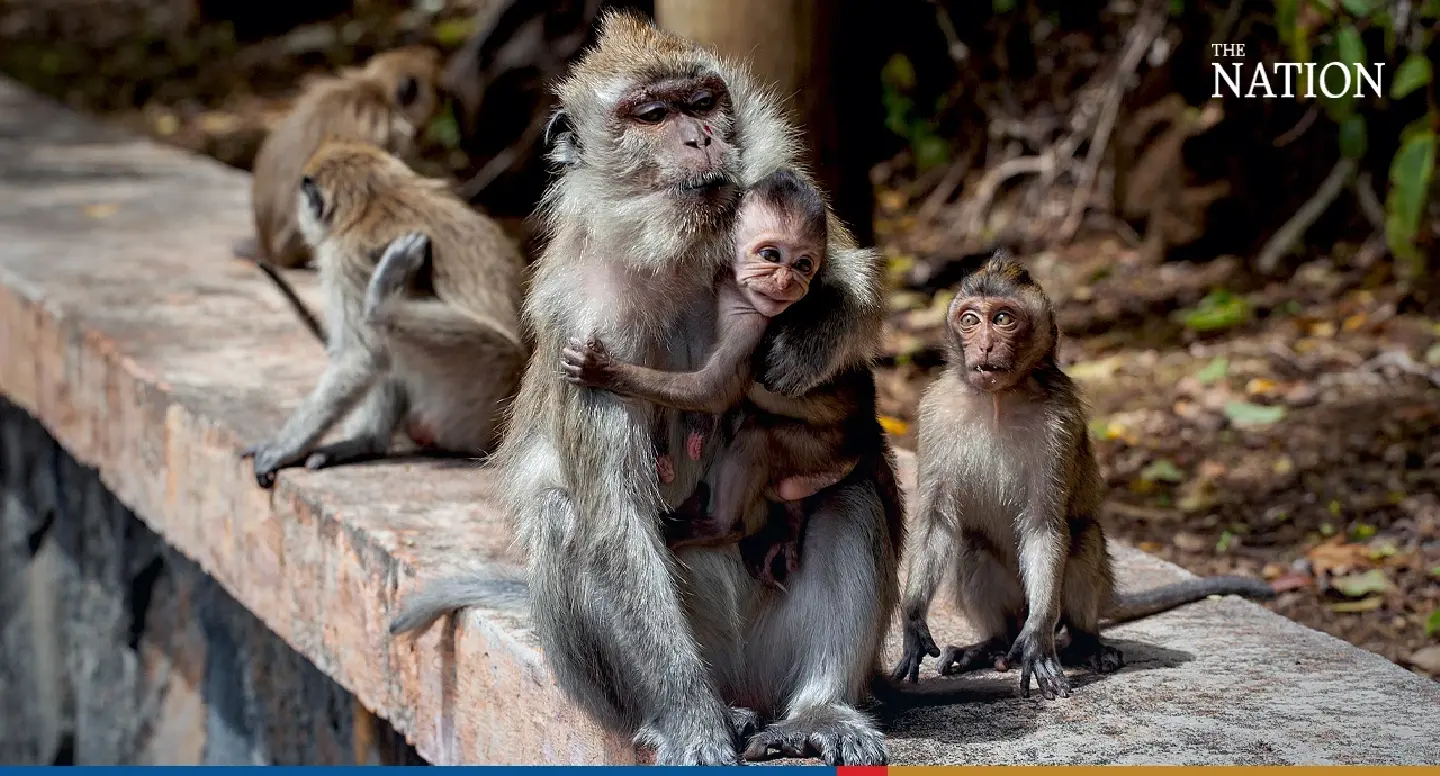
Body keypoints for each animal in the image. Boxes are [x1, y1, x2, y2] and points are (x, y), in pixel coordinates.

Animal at [241, 140, 527, 489]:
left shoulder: (344, 258)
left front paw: (284, 448)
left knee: (382, 333)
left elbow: (362, 358)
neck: (378, 198)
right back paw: (368, 442)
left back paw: (381, 302)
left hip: (479, 390)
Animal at [387, 11, 902, 766]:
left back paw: (820, 708)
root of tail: (745, 679)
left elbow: (857, 293)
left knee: (852, 482)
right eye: (653, 115)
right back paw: (693, 713)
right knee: (565, 518)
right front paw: (690, 721)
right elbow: (614, 522)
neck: (678, 253)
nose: (702, 138)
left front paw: (807, 341)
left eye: (703, 102)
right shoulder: (582, 319)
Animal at [891, 252, 1277, 700]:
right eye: (969, 320)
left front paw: (1038, 639)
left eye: (1003, 318)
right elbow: (936, 521)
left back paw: (1084, 642)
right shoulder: (935, 411)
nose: (984, 344)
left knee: (1082, 538)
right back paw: (991, 646)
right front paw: (913, 619)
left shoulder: (1061, 420)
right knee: (972, 545)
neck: (999, 399)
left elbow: (1045, 526)